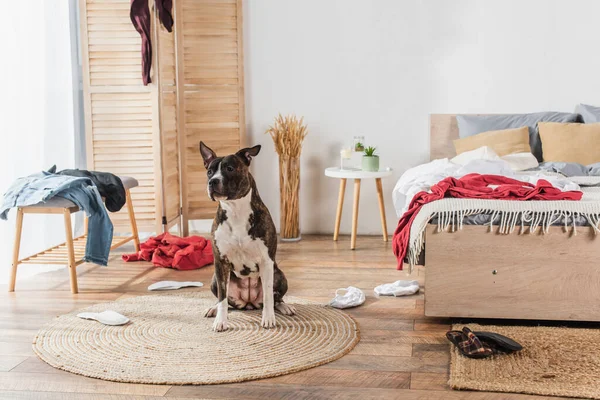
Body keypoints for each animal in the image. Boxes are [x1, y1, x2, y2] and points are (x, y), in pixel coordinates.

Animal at [200, 141, 296, 332]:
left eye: (230, 168)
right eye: (209, 171)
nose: (212, 181)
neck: (235, 210)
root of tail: (249, 303)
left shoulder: (266, 261)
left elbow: (268, 295)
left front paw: (268, 319)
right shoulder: (220, 262)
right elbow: (222, 298)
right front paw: (221, 321)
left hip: (279, 275)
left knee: (276, 298)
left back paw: (285, 307)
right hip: (214, 278)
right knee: (224, 299)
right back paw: (213, 309)